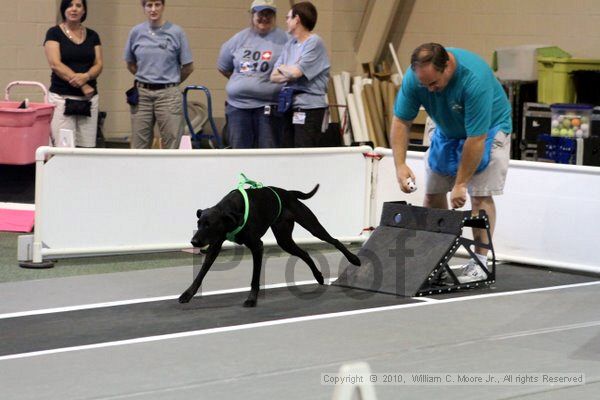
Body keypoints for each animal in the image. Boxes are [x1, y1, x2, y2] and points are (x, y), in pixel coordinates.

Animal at [176, 183, 358, 308]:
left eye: (210, 225)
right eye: (199, 223)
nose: (194, 242)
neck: (231, 213)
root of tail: (289, 193)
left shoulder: (257, 246)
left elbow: (255, 278)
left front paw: (251, 299)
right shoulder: (215, 246)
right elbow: (201, 273)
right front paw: (188, 294)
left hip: (312, 226)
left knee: (335, 241)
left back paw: (354, 259)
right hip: (285, 240)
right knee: (305, 254)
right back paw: (319, 276)